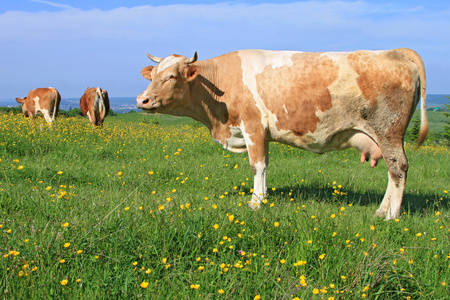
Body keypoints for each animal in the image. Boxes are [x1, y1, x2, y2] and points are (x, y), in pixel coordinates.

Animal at [135, 47, 428, 220]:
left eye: (172, 76)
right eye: (153, 75)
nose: (142, 100)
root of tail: (395, 52)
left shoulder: (253, 127)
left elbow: (257, 165)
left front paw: (255, 203)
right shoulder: (261, 133)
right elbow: (265, 165)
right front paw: (263, 197)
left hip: (389, 130)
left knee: (398, 167)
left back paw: (392, 216)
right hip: (385, 136)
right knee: (392, 171)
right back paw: (381, 210)